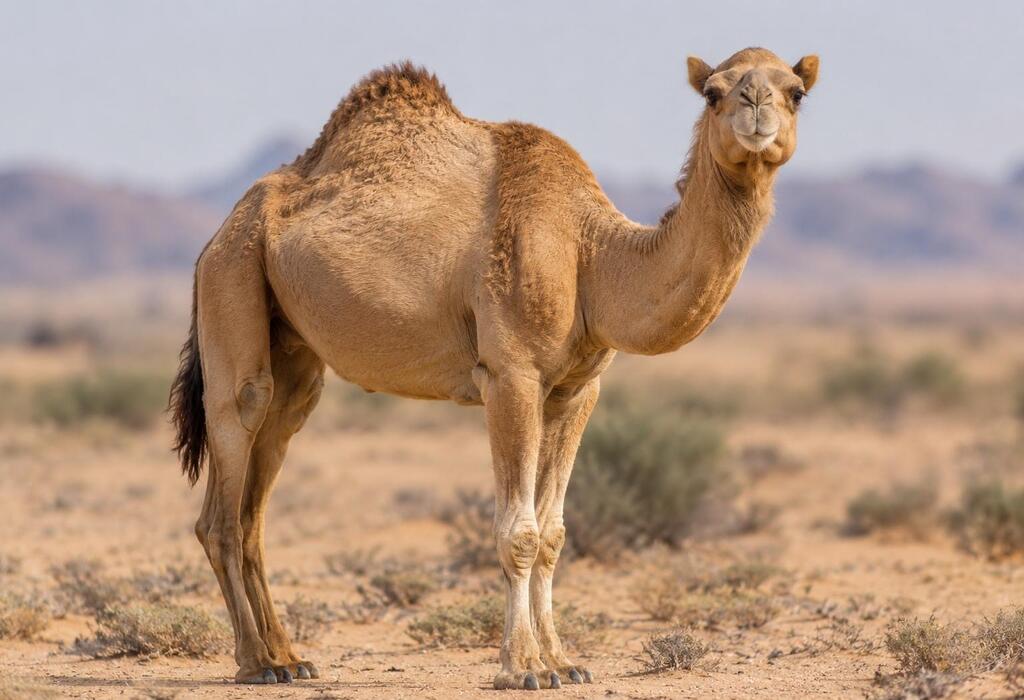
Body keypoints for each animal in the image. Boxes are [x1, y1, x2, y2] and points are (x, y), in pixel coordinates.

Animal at [169, 47, 819, 690]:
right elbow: (520, 533)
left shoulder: (577, 390)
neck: (592, 253)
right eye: (713, 92)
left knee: (259, 494)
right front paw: (523, 667)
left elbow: (554, 533)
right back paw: (254, 662)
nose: (755, 106)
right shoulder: (512, 376)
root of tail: (221, 230)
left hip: (293, 355)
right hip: (234, 278)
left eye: (796, 91)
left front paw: (563, 661)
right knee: (227, 485)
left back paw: (289, 657)